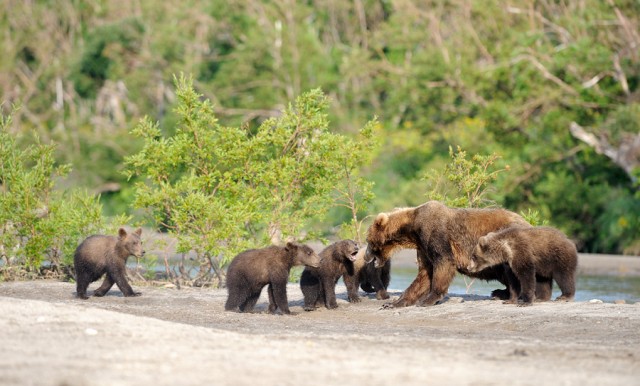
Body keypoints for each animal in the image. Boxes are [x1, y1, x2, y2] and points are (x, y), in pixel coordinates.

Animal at [364, 202, 536, 308]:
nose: (365, 257)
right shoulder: (423, 246)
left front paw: (429, 299)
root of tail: (528, 223)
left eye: (368, 241)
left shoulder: (435, 233)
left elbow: (444, 262)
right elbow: (424, 274)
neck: (412, 228)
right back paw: (500, 292)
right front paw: (394, 303)